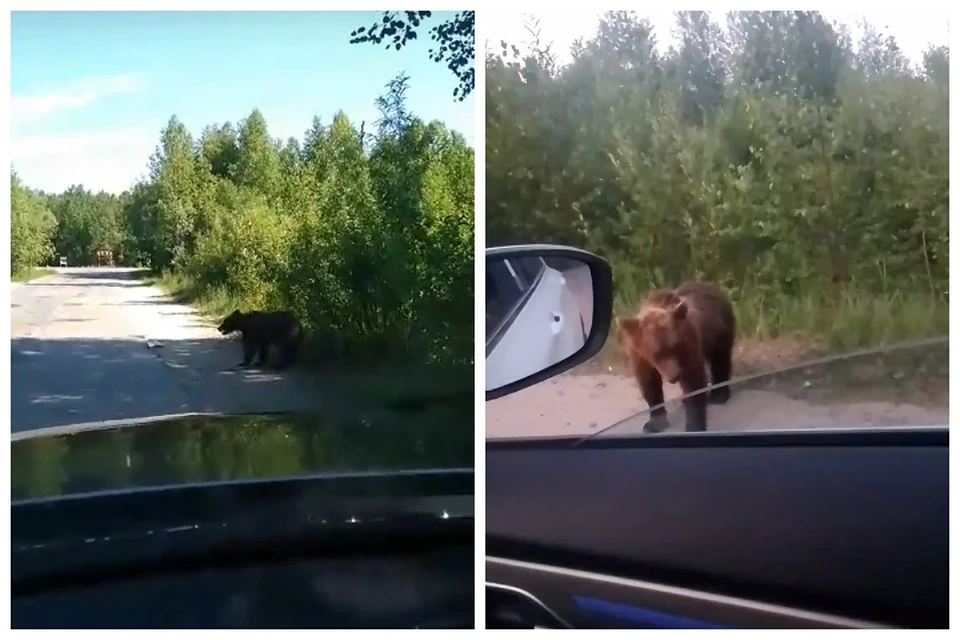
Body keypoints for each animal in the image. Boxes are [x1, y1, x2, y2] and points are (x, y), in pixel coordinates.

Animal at [616, 282, 736, 436]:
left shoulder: (688, 348)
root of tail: (713, 287)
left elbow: (693, 383)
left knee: (720, 361)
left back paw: (719, 395)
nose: (675, 376)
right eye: (657, 353)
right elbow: (649, 384)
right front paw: (654, 423)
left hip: (719, 332)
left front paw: (694, 426)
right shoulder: (640, 356)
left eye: (674, 346)